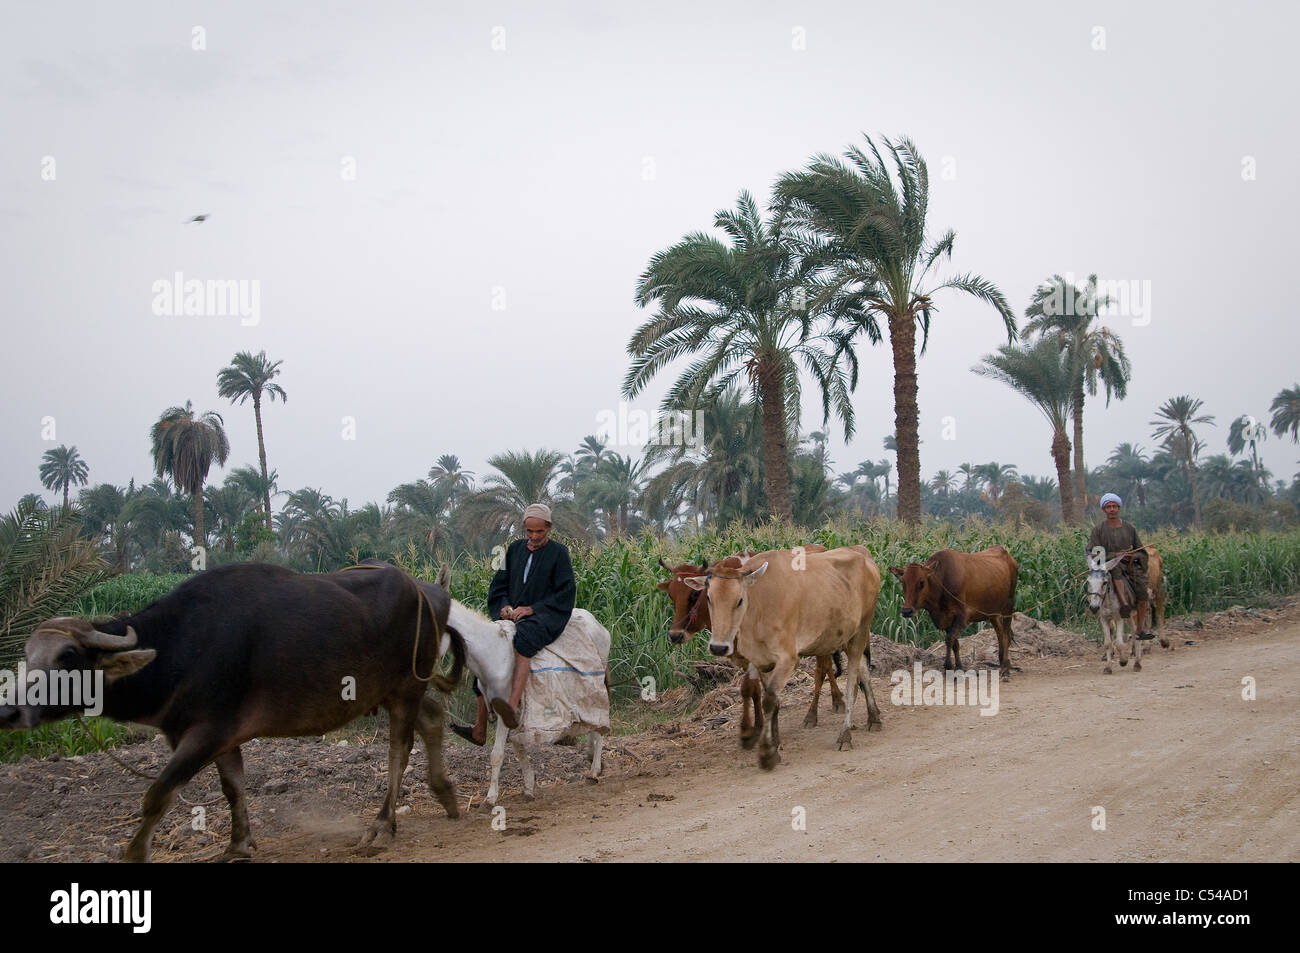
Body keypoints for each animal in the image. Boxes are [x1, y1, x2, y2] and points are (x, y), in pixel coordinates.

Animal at [0, 556, 465, 863]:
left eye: (66, 656)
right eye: (28, 655)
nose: (11, 712)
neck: (181, 646)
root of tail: (430, 592)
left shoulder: (206, 733)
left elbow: (157, 794)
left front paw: (135, 852)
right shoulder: (217, 737)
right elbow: (233, 788)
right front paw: (239, 843)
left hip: (404, 689)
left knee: (398, 751)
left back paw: (382, 825)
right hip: (394, 690)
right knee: (433, 718)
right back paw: (446, 794)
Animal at [660, 543, 842, 743]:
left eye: (694, 595)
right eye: (671, 595)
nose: (675, 635)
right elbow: (754, 690)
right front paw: (759, 725)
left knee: (821, 669)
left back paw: (820, 710)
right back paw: (836, 700)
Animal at [681, 538, 883, 769]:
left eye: (739, 600)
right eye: (708, 598)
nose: (718, 647)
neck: (758, 608)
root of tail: (863, 555)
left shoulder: (788, 659)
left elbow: (769, 700)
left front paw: (768, 753)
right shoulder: (761, 661)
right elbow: (772, 700)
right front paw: (775, 743)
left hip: (861, 630)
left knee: (852, 683)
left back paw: (845, 734)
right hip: (846, 636)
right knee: (863, 671)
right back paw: (874, 718)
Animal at [889, 546, 1019, 681]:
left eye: (921, 582)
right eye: (903, 582)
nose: (906, 611)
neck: (941, 582)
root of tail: (1005, 553)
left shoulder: (962, 615)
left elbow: (949, 639)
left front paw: (949, 667)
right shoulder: (946, 619)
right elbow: (955, 643)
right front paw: (959, 668)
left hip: (1008, 606)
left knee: (1006, 635)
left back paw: (1005, 668)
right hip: (992, 611)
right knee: (1000, 633)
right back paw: (1002, 662)